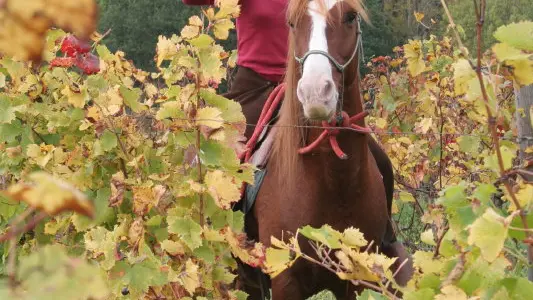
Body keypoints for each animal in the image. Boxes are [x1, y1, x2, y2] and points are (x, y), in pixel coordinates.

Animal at [235, 1, 414, 298]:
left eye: (350, 17)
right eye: (292, 23)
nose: (316, 93)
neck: (332, 182)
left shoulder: (353, 281)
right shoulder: (285, 280)